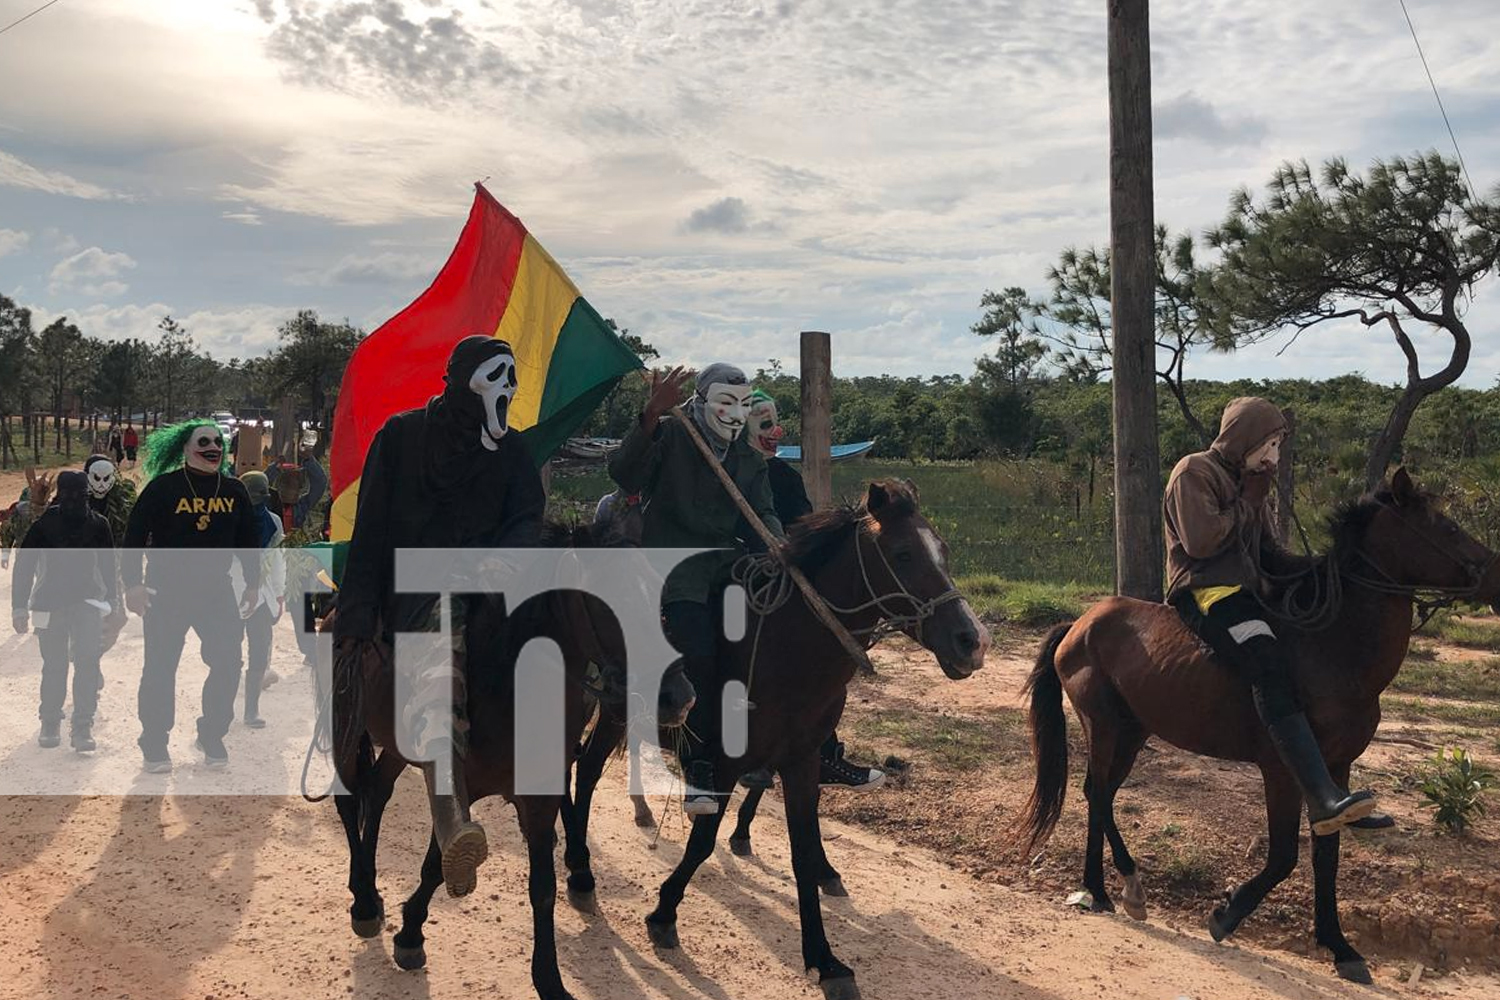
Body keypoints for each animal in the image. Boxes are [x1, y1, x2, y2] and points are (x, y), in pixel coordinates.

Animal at [328, 527, 696, 995]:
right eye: (610, 605)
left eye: (659, 604)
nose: (681, 699)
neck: (509, 693)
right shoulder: (459, 788)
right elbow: (434, 865)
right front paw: (410, 934)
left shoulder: (539, 800)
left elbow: (543, 886)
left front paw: (550, 978)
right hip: (345, 722)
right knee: (348, 799)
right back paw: (362, 899)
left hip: (395, 747)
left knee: (376, 791)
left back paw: (373, 893)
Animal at [558, 479, 990, 1000]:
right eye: (903, 553)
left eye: (942, 551)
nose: (972, 641)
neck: (788, 649)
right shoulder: (723, 764)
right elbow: (702, 842)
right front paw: (663, 913)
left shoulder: (801, 761)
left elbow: (802, 850)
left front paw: (826, 959)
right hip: (612, 707)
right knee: (585, 770)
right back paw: (580, 871)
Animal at [1020, 470, 1500, 983]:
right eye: (1447, 527)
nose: (1495, 573)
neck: (1333, 645)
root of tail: (1080, 623)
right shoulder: (1281, 770)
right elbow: (1284, 855)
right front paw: (1227, 912)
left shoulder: (1336, 769)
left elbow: (1327, 856)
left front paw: (1339, 945)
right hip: (1105, 727)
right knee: (1096, 794)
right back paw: (1101, 888)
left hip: (1134, 732)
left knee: (1103, 795)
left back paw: (1124, 886)